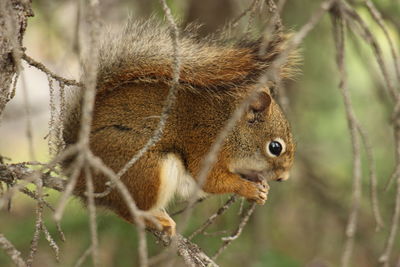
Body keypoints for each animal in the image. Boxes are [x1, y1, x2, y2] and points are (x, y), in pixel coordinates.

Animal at [61, 19, 296, 237]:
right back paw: (153, 220)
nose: (284, 178)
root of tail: (78, 171)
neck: (229, 128)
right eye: (275, 147)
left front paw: (262, 187)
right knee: (128, 210)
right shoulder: (206, 145)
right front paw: (248, 189)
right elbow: (210, 180)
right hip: (145, 171)